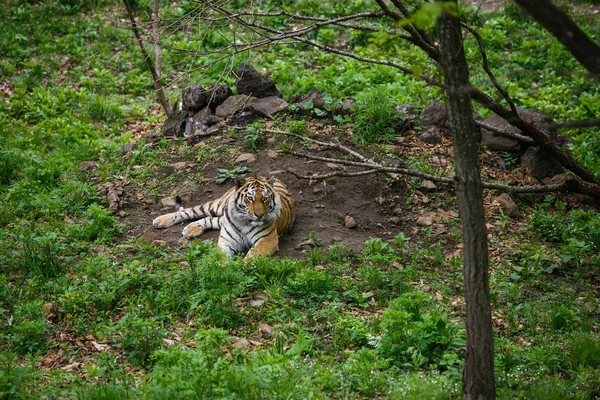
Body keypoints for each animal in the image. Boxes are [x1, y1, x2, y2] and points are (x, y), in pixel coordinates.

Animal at [152, 177, 296, 260]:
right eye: (250, 198)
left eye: (265, 198)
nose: (259, 215)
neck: (244, 221)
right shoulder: (226, 240)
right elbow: (222, 256)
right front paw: (222, 269)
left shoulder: (268, 240)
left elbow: (253, 254)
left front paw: (245, 268)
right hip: (216, 205)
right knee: (191, 210)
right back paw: (161, 220)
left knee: (211, 219)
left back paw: (191, 229)